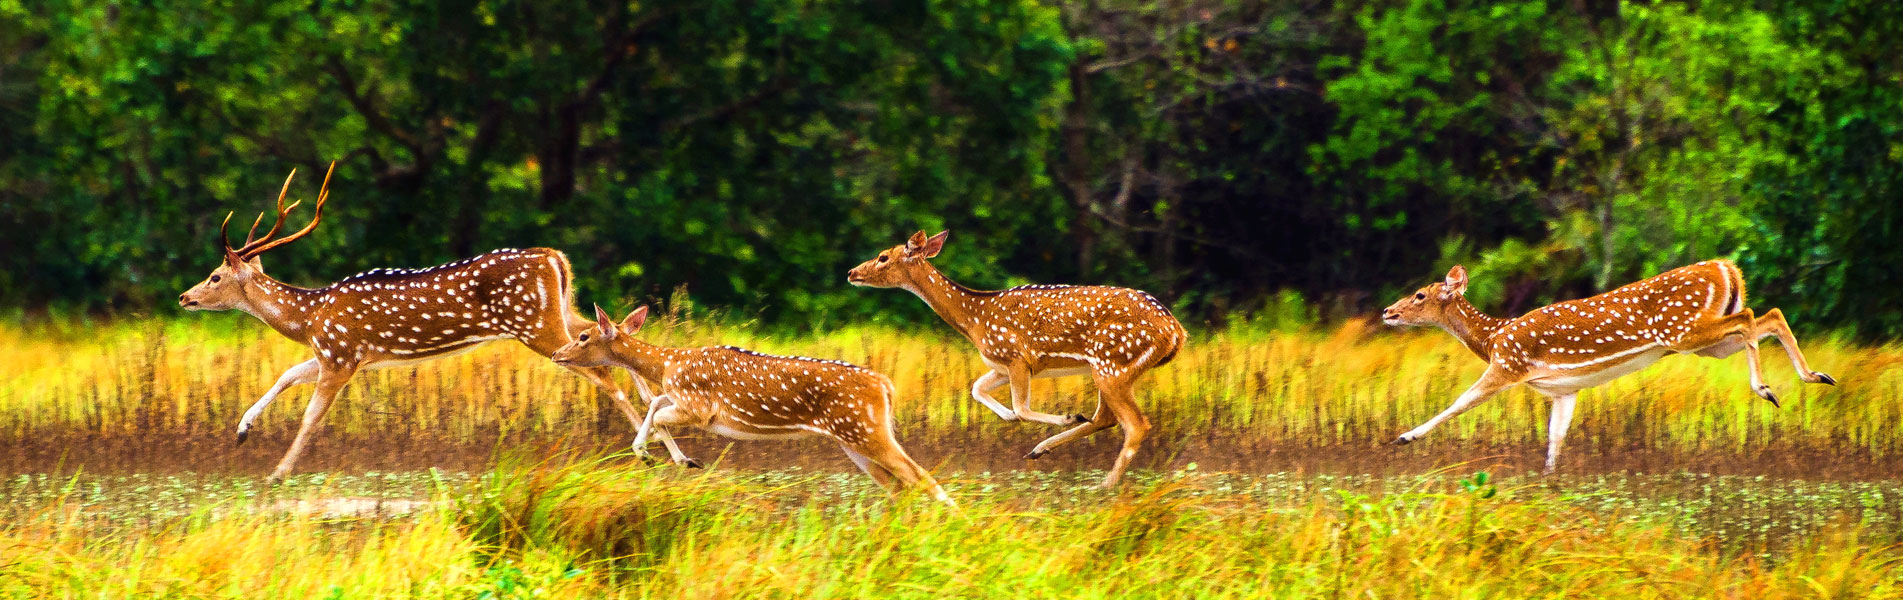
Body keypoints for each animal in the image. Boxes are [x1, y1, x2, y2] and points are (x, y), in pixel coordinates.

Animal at [178, 165, 685, 483]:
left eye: (215, 275)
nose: (185, 296)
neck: (308, 317)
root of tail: (554, 257)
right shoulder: (337, 355)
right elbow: (285, 375)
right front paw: (242, 430)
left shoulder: (340, 356)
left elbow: (310, 416)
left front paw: (278, 472)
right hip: (563, 312)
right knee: (619, 344)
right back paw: (673, 452)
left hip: (536, 326)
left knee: (606, 375)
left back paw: (652, 454)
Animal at [555, 304, 959, 506]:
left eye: (584, 336)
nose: (558, 354)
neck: (668, 363)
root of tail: (886, 386)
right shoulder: (681, 398)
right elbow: (655, 402)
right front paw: (675, 458)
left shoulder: (700, 408)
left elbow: (658, 410)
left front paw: (656, 455)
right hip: (855, 439)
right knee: (898, 486)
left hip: (866, 429)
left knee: (922, 478)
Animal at [852, 230, 1187, 487]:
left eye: (883, 257)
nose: (852, 272)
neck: (974, 320)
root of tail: (1175, 332)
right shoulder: (999, 364)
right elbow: (978, 389)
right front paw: (1030, 420)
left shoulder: (1016, 357)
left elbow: (1021, 407)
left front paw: (1064, 416)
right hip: (1112, 368)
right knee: (1105, 418)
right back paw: (1042, 450)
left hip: (1111, 362)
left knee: (1136, 424)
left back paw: (1105, 484)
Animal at [1377, 260, 1834, 472]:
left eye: (1419, 295)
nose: (1387, 312)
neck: (1491, 337)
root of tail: (1728, 268)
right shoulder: (1564, 390)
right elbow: (1555, 438)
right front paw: (1549, 479)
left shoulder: (1509, 363)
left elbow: (1461, 402)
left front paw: (1404, 437)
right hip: (1706, 343)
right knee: (1767, 315)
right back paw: (1816, 376)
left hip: (1682, 331)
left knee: (1752, 316)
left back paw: (1767, 389)